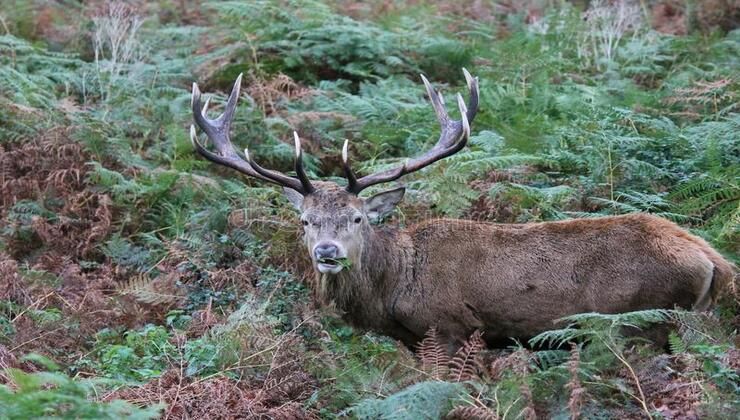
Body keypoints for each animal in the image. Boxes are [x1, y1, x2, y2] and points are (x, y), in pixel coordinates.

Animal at [189, 70, 736, 350]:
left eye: (357, 218)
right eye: (305, 221)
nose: (327, 252)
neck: (394, 291)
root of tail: (715, 261)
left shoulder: (450, 329)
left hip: (648, 319)